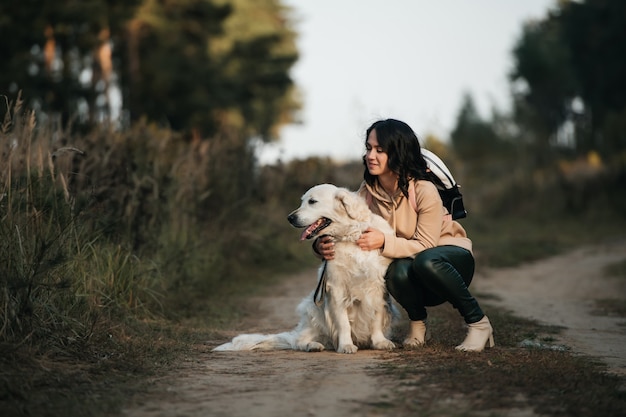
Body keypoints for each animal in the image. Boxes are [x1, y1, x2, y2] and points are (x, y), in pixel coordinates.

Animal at [212, 184, 398, 352]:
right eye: (302, 201)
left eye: (312, 201)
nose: (290, 218)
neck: (349, 237)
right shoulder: (336, 288)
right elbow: (343, 323)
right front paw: (346, 345)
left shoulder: (377, 287)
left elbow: (376, 316)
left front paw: (380, 342)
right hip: (313, 310)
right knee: (298, 341)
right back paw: (312, 345)